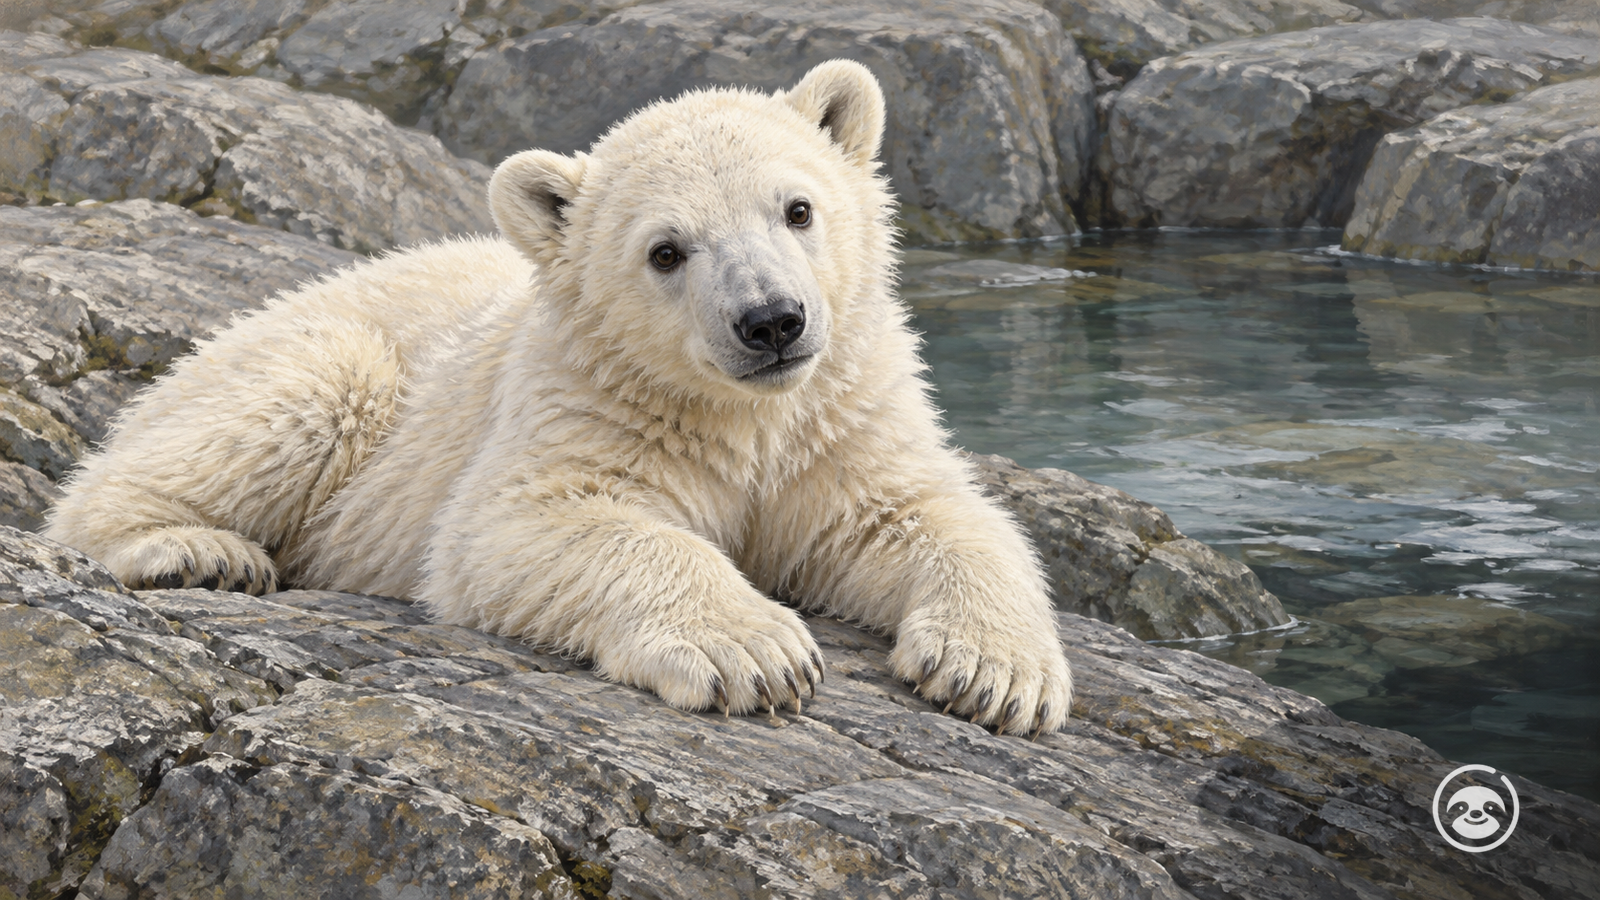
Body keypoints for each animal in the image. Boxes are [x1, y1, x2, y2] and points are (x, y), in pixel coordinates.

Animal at [44, 60, 1073, 735]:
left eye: (798, 209)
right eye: (666, 250)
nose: (772, 322)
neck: (743, 413)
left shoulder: (839, 418)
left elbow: (920, 515)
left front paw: (995, 674)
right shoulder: (579, 405)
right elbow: (521, 527)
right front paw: (756, 652)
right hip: (307, 360)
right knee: (287, 402)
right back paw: (196, 550)